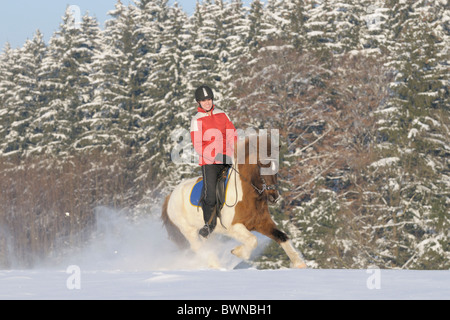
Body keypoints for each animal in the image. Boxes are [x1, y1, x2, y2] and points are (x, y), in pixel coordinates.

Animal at [161, 134, 306, 268]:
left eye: (276, 167)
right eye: (261, 165)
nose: (273, 196)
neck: (248, 196)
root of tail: (170, 196)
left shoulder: (263, 223)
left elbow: (282, 237)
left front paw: (299, 264)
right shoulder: (233, 227)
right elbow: (253, 240)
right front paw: (237, 252)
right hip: (188, 230)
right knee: (200, 249)